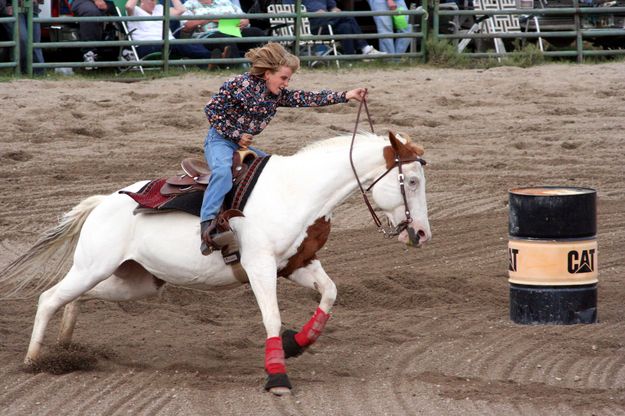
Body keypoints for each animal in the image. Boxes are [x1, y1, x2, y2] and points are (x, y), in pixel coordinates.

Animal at [0, 132, 428, 394]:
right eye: (410, 181)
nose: (422, 233)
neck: (297, 191)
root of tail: (103, 201)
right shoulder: (259, 266)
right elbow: (271, 317)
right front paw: (277, 376)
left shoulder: (296, 264)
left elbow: (330, 293)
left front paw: (296, 344)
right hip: (93, 267)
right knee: (49, 298)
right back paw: (34, 361)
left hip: (134, 281)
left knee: (77, 298)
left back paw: (65, 345)